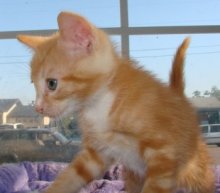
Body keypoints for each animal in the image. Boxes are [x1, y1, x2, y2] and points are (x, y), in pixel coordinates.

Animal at [17, 11, 215, 193]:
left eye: (52, 84)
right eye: (33, 84)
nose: (38, 108)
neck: (101, 102)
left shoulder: (164, 153)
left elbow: (154, 187)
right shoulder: (95, 154)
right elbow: (70, 176)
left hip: (192, 168)